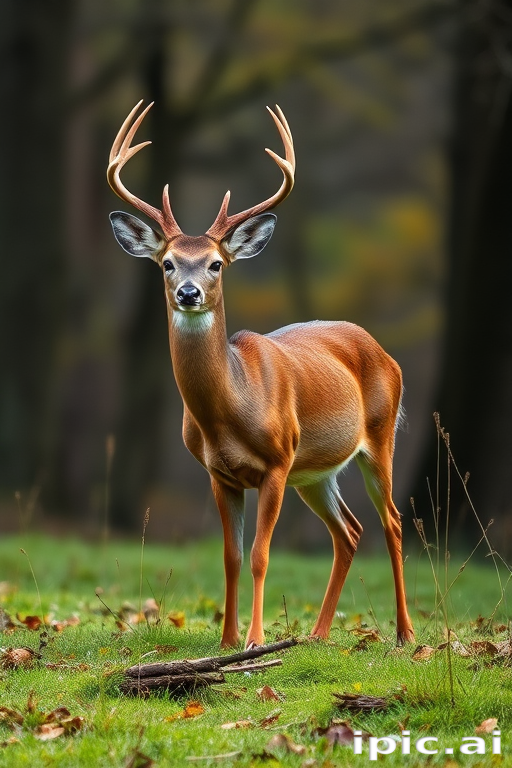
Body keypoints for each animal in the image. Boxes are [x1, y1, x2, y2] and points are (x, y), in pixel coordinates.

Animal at [107, 100, 415, 649]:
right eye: (167, 263)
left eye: (215, 264)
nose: (188, 292)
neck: (232, 409)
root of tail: (385, 351)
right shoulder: (219, 474)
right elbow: (230, 557)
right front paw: (227, 641)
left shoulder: (276, 462)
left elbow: (260, 555)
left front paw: (253, 639)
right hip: (314, 470)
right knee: (349, 531)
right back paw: (317, 634)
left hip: (377, 439)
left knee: (394, 523)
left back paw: (404, 633)